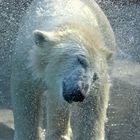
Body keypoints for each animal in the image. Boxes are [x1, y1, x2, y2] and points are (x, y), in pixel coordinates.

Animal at [10, 0, 115, 140]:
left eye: (95, 76)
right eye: (80, 59)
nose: (80, 93)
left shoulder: (96, 85)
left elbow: (93, 109)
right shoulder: (26, 64)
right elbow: (26, 98)